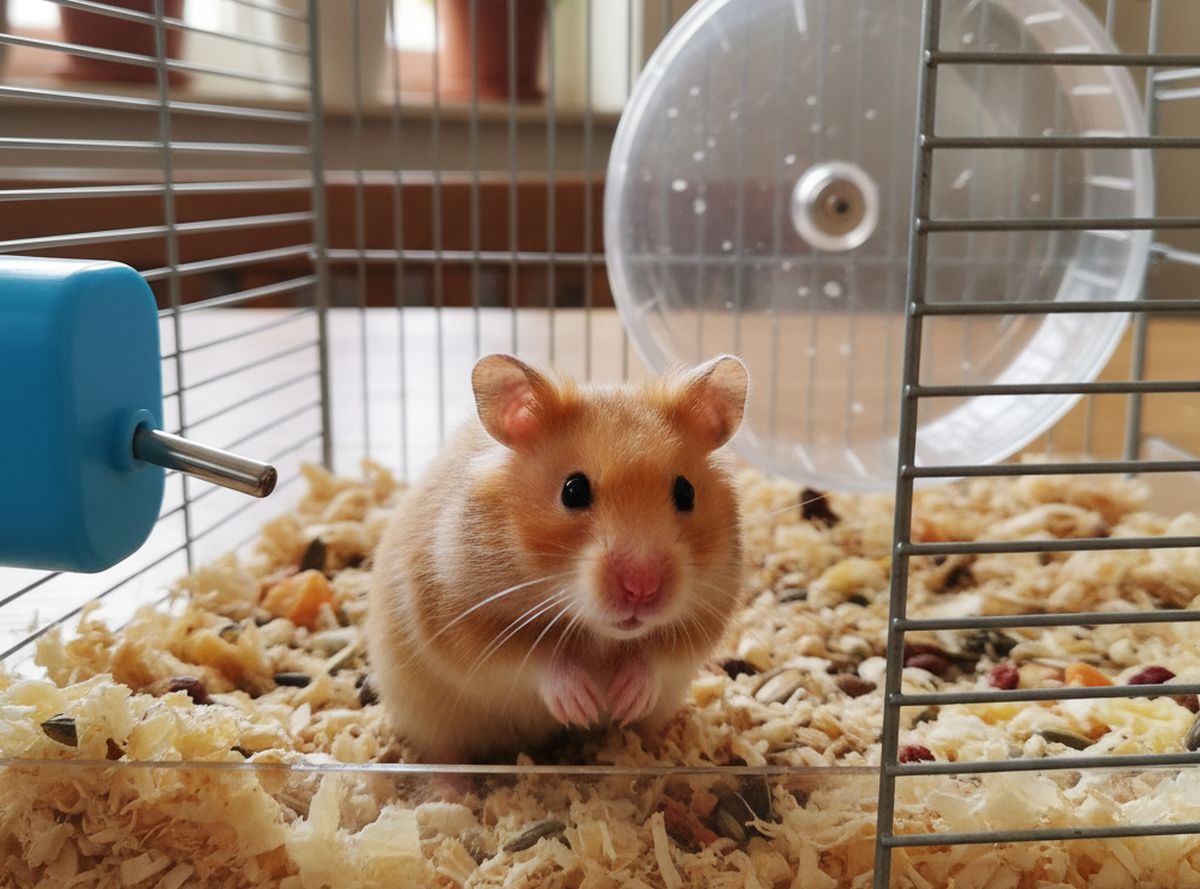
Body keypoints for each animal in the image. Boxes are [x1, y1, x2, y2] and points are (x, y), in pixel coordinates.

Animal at [366, 353, 748, 763]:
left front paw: (624, 699)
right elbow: (533, 660)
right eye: (573, 490)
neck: (598, 634)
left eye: (686, 492)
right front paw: (582, 705)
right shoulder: (456, 614)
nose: (642, 589)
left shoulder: (708, 612)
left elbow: (658, 656)